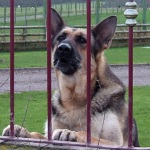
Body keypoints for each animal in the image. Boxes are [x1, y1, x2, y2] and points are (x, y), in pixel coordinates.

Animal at [2, 7, 139, 146]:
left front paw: (70, 132)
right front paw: (21, 131)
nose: (63, 48)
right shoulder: (49, 135)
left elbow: (88, 135)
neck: (74, 98)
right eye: (60, 37)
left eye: (82, 40)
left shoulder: (115, 143)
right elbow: (39, 135)